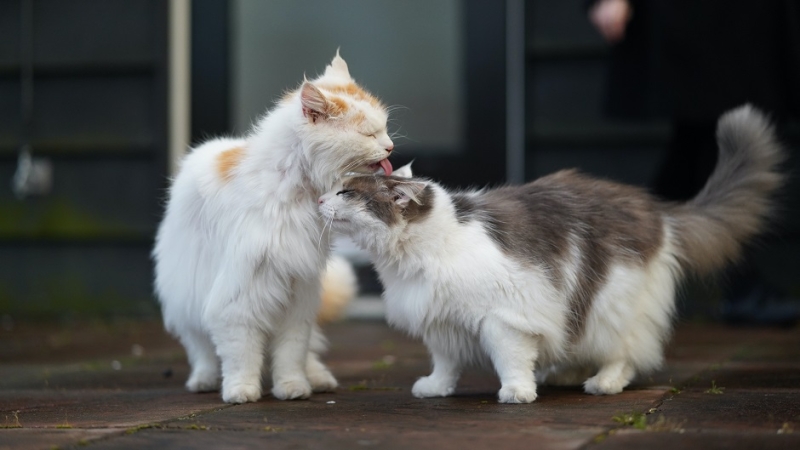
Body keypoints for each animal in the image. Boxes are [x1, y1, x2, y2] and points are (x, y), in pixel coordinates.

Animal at [153, 52, 394, 404]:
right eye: (369, 135)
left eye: (384, 129)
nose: (390, 147)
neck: (296, 189)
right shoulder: (236, 297)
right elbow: (241, 355)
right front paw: (241, 391)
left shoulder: (297, 298)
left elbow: (291, 354)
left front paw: (293, 388)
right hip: (189, 294)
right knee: (202, 350)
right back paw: (204, 380)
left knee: (309, 353)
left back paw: (318, 379)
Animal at [318, 105, 780, 404]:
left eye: (344, 193)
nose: (318, 200)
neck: (419, 253)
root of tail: (655, 208)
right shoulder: (441, 320)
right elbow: (445, 363)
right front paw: (435, 388)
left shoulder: (504, 317)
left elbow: (511, 359)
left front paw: (517, 392)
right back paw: (564, 374)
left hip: (611, 304)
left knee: (625, 353)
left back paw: (602, 383)